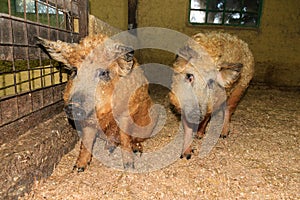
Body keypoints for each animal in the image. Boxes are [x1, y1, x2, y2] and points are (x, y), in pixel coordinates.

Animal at [37, 33, 159, 171]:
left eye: (104, 73)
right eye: (75, 71)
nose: (74, 105)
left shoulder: (126, 114)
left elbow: (125, 138)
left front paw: (129, 167)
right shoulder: (87, 122)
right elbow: (86, 141)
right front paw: (78, 168)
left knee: (136, 138)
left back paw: (136, 150)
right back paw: (108, 149)